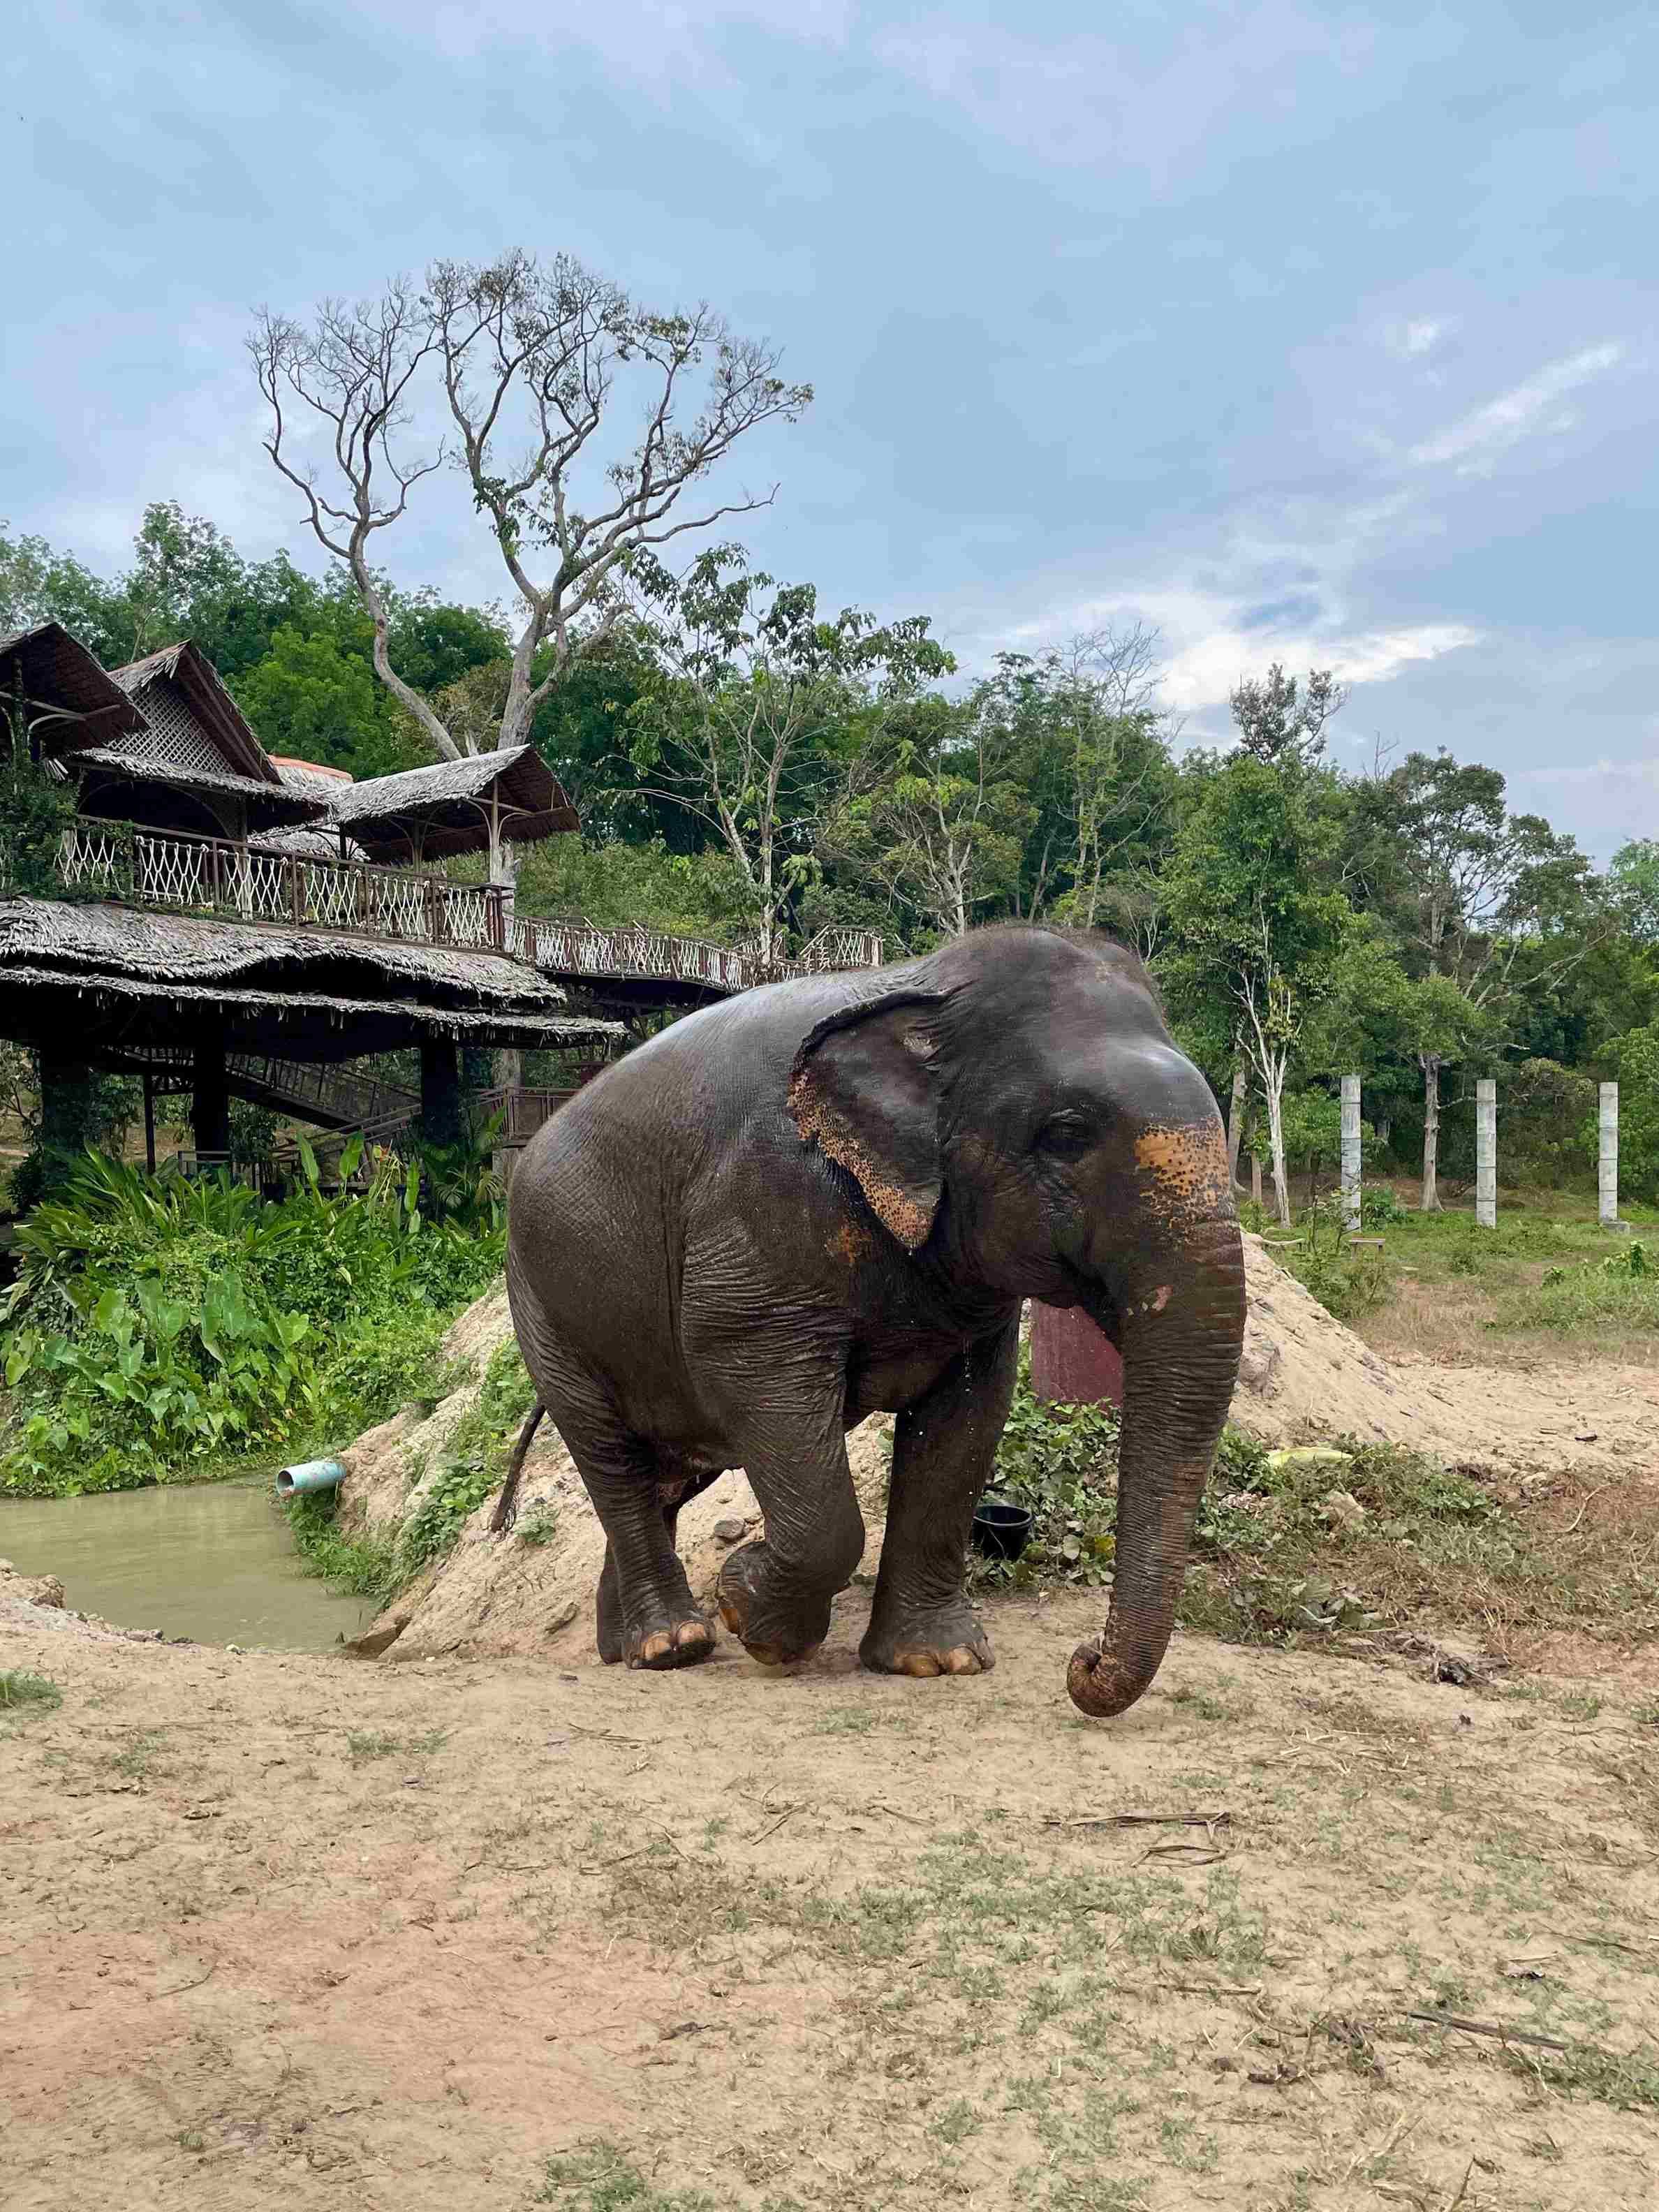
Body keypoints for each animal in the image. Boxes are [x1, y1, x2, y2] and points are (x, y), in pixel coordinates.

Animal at [494, 924, 1245, 1717]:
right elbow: (758, 1386)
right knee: (610, 1458)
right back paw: (673, 1645)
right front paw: (752, 1617)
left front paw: (937, 1662)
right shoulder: (757, 1218)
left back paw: (630, 1649)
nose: (1083, 1660)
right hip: (542, 1306)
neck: (924, 985)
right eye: (1067, 1134)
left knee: (666, 1478)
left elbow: (966, 1424)